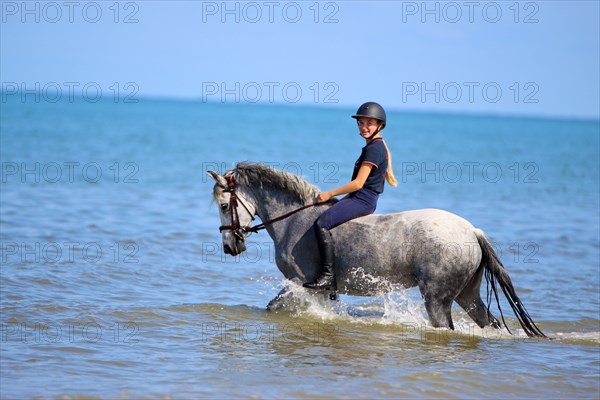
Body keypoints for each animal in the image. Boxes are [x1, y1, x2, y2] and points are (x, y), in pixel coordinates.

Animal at [209, 162, 548, 338]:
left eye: (225, 206)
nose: (229, 247)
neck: (294, 219)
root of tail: (472, 232)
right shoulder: (318, 292)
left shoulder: (303, 285)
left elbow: (274, 307)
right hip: (467, 294)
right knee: (489, 322)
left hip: (438, 298)